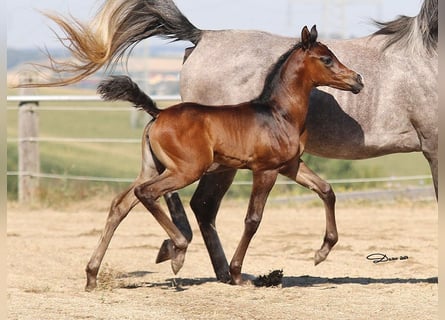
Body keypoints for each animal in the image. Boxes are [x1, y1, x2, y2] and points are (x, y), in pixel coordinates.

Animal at [93, 26, 360, 288]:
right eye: (327, 59)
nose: (357, 80)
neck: (280, 115)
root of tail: (158, 113)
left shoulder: (291, 165)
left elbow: (326, 190)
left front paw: (322, 252)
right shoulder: (266, 170)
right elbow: (253, 219)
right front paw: (237, 273)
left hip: (152, 169)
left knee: (120, 205)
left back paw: (91, 275)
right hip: (185, 171)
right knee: (145, 193)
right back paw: (178, 250)